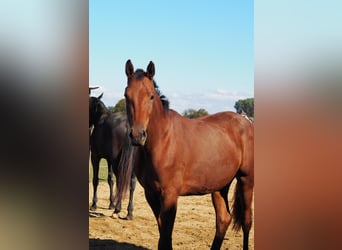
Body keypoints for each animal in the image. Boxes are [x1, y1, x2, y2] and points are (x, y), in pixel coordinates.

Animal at [117, 59, 254, 249]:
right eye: (126, 95)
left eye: (151, 96)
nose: (137, 135)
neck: (162, 141)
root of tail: (246, 121)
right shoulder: (151, 194)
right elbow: (164, 237)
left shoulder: (170, 196)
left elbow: (165, 238)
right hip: (220, 185)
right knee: (224, 219)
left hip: (246, 180)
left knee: (247, 222)